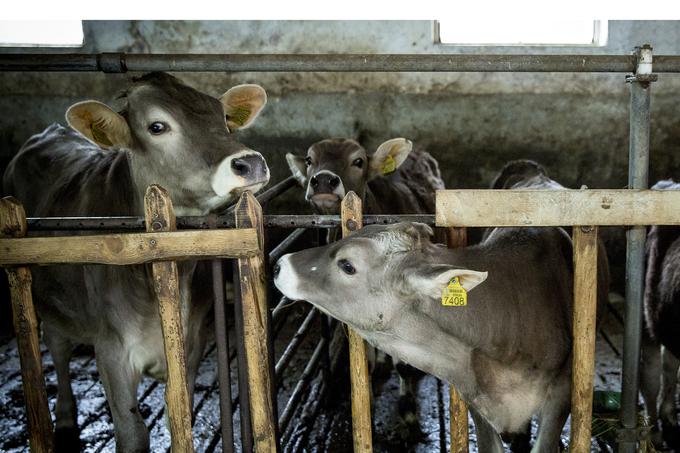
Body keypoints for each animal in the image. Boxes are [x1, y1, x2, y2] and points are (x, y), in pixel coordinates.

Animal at [2, 72, 270, 450]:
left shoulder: (192, 345)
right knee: (57, 346)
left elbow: (179, 419)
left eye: (223, 119)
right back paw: (66, 419)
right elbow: (132, 434)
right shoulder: (111, 350)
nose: (250, 163)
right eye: (157, 126)